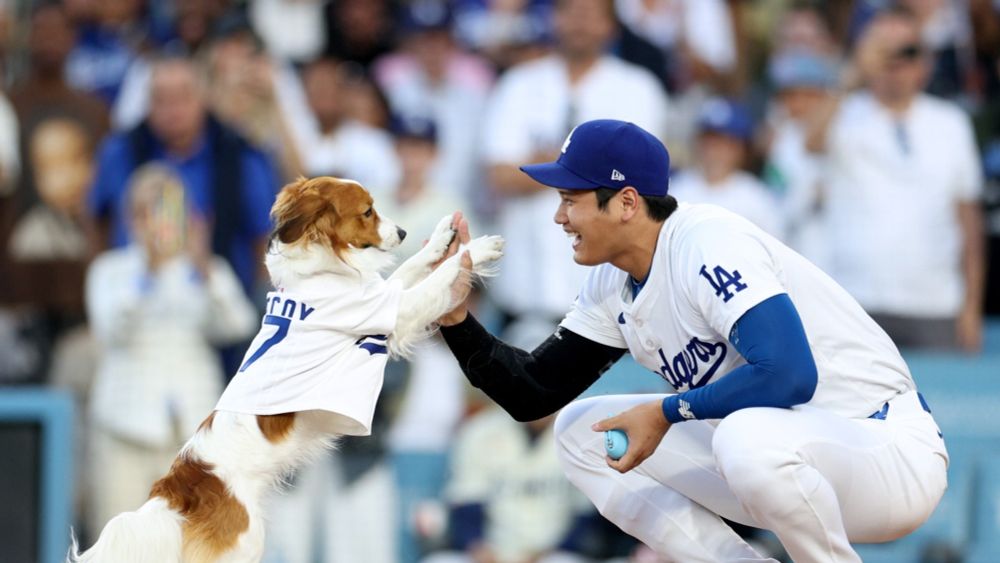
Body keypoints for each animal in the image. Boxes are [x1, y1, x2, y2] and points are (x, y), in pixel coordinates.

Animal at [73, 177, 504, 563]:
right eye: (367, 211)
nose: (402, 231)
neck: (318, 273)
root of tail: (177, 492)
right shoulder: (390, 311)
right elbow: (439, 278)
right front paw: (477, 249)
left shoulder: (380, 296)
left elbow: (412, 268)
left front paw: (443, 237)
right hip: (245, 546)